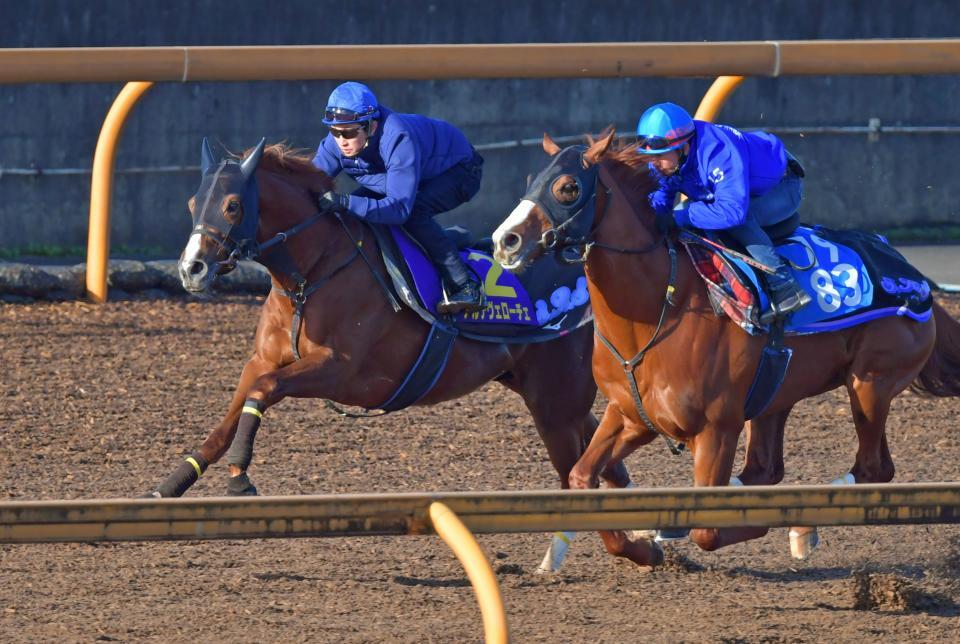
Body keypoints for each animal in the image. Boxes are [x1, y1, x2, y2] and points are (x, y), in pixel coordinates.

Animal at [148, 137, 632, 564]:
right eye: (193, 204)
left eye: (233, 205)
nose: (191, 269)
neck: (313, 273)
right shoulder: (262, 359)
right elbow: (226, 420)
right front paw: (170, 486)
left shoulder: (340, 371)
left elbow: (263, 391)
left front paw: (240, 477)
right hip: (539, 389)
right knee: (600, 450)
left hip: (554, 400)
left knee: (577, 467)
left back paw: (625, 544)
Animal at [492, 131, 960, 568]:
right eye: (532, 180)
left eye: (568, 187)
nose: (504, 241)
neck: (657, 312)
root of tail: (914, 276)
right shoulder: (631, 416)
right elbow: (582, 478)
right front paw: (644, 548)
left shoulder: (715, 429)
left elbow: (709, 528)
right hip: (776, 396)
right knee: (766, 470)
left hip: (870, 384)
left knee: (873, 468)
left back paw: (802, 527)